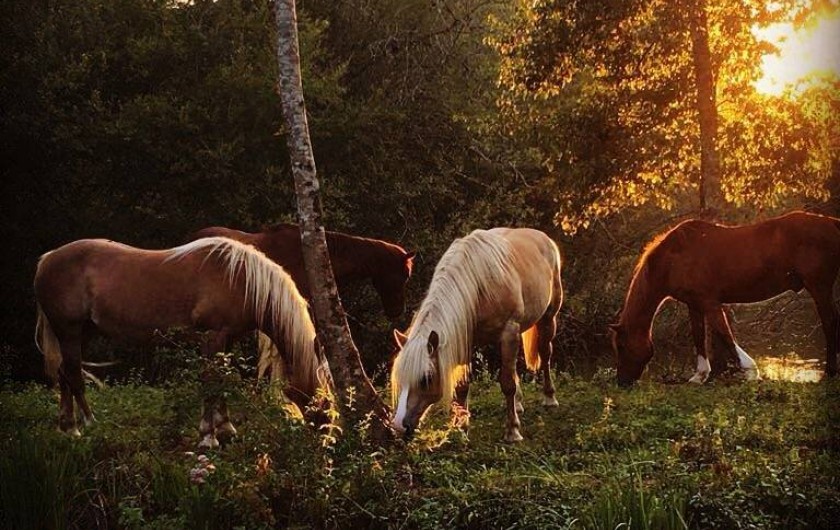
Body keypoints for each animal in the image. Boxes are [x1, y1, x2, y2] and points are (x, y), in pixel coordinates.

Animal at [34, 236, 331, 448]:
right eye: (321, 395)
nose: (327, 436)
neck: (241, 279)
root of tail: (48, 258)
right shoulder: (212, 336)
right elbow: (210, 380)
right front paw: (208, 436)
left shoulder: (227, 339)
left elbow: (222, 379)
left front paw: (225, 427)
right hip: (69, 331)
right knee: (74, 376)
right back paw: (85, 424)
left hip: (82, 333)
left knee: (64, 373)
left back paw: (66, 426)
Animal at [390, 228, 564, 443]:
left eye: (426, 379)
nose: (398, 427)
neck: (479, 287)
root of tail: (543, 238)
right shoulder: (466, 339)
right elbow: (463, 387)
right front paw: (461, 428)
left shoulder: (509, 332)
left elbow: (507, 383)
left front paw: (512, 431)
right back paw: (519, 404)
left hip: (548, 318)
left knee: (545, 354)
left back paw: (550, 399)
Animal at [611, 211, 840, 386]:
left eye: (621, 346)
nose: (622, 382)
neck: (674, 258)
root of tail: (832, 223)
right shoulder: (694, 305)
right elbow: (699, 337)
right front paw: (699, 376)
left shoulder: (709, 303)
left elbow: (725, 334)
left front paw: (751, 371)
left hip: (819, 288)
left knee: (829, 324)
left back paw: (830, 372)